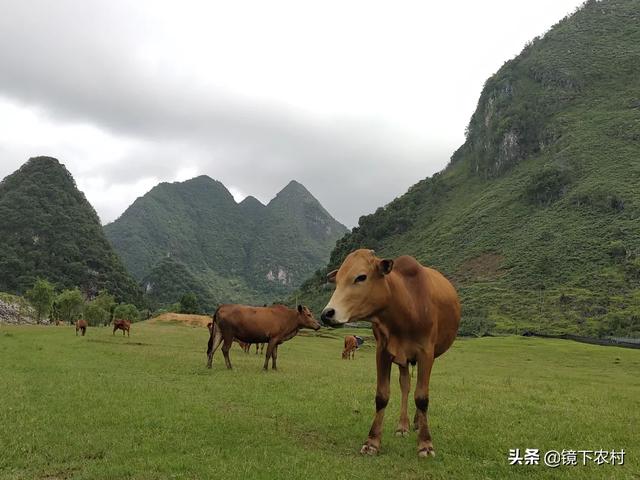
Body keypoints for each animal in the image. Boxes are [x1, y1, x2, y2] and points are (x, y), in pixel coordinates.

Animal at [320, 251, 460, 458]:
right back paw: (403, 426)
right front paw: (372, 442)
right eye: (336, 281)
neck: (406, 305)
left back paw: (417, 423)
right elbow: (382, 396)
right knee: (405, 385)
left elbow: (422, 397)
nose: (327, 314)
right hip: (403, 360)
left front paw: (425, 444)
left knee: (419, 389)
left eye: (361, 277)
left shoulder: (426, 353)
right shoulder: (383, 352)